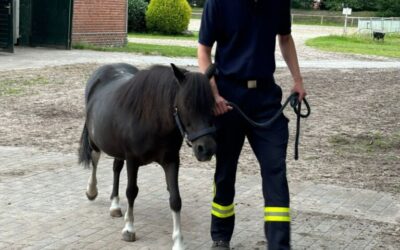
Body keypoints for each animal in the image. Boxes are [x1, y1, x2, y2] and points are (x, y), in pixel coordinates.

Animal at [77, 63, 216, 250]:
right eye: (187, 103)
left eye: (212, 103)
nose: (206, 149)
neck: (152, 120)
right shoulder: (132, 160)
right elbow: (131, 192)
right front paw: (129, 229)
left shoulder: (171, 161)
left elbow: (175, 199)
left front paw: (179, 242)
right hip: (95, 142)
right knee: (95, 159)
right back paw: (92, 191)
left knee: (116, 168)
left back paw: (115, 205)